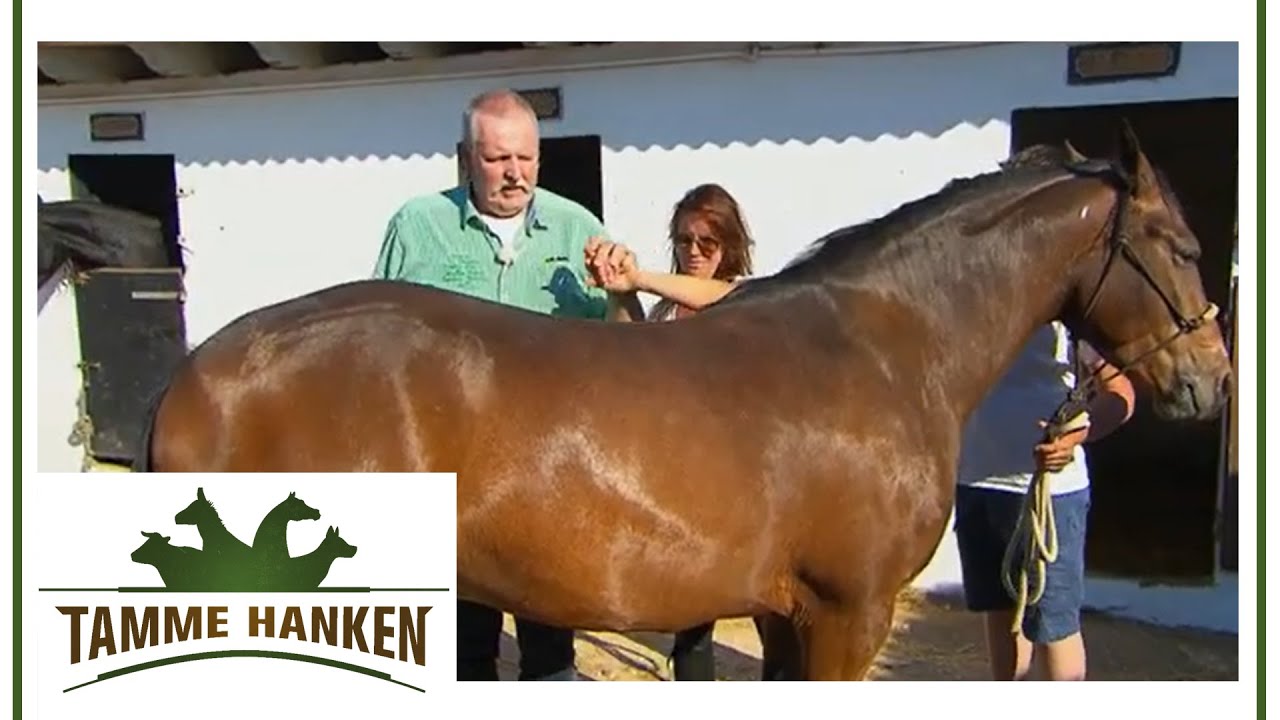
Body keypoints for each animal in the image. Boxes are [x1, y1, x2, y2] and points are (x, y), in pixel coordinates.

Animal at [131, 125, 1230, 680]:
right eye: (1181, 245)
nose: (1210, 380)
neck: (885, 349)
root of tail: (198, 377)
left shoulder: (790, 617)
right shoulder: (849, 613)